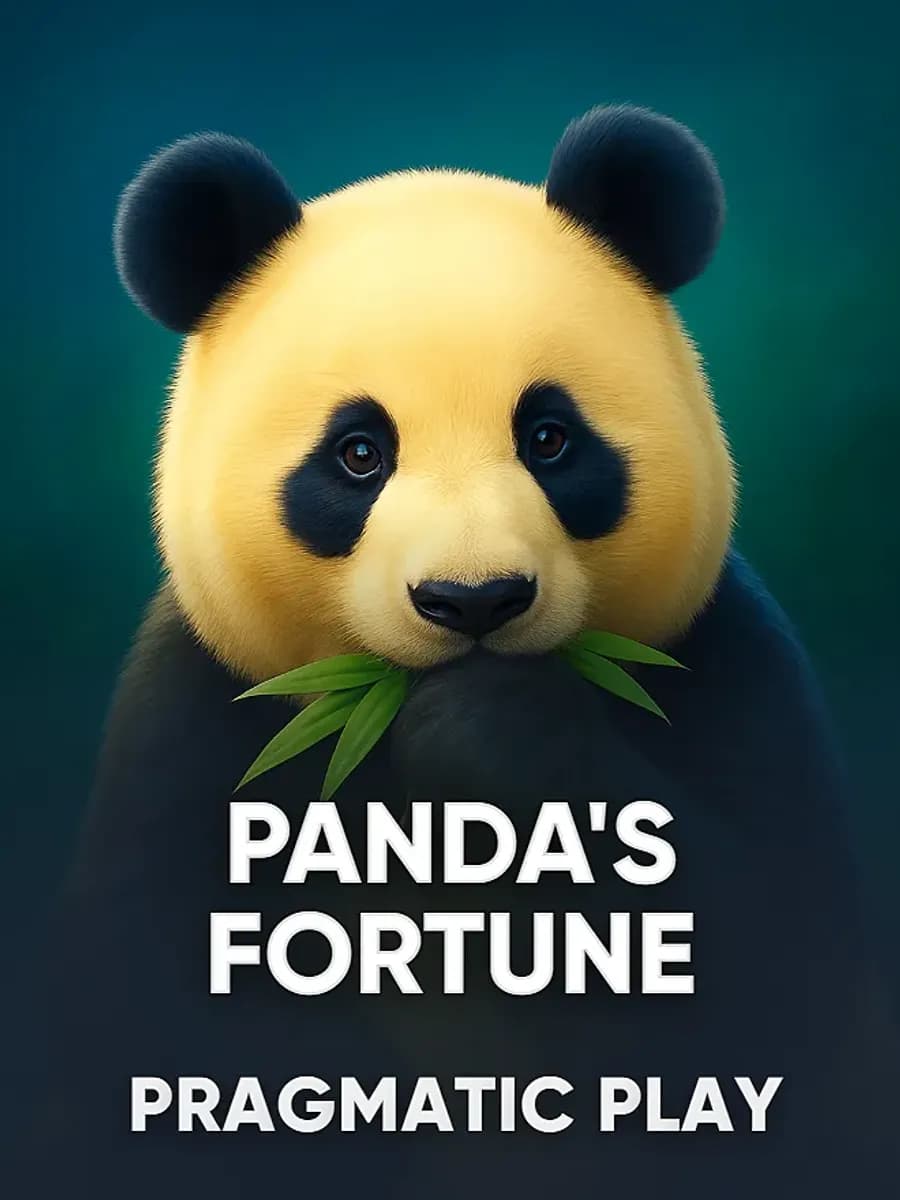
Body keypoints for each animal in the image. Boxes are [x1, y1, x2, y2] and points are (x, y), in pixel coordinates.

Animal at [32, 107, 898, 1199]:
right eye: (359, 454)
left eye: (549, 438)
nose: (474, 598)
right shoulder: (200, 720)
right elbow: (150, 1014)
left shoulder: (723, 664)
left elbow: (786, 960)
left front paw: (496, 726)